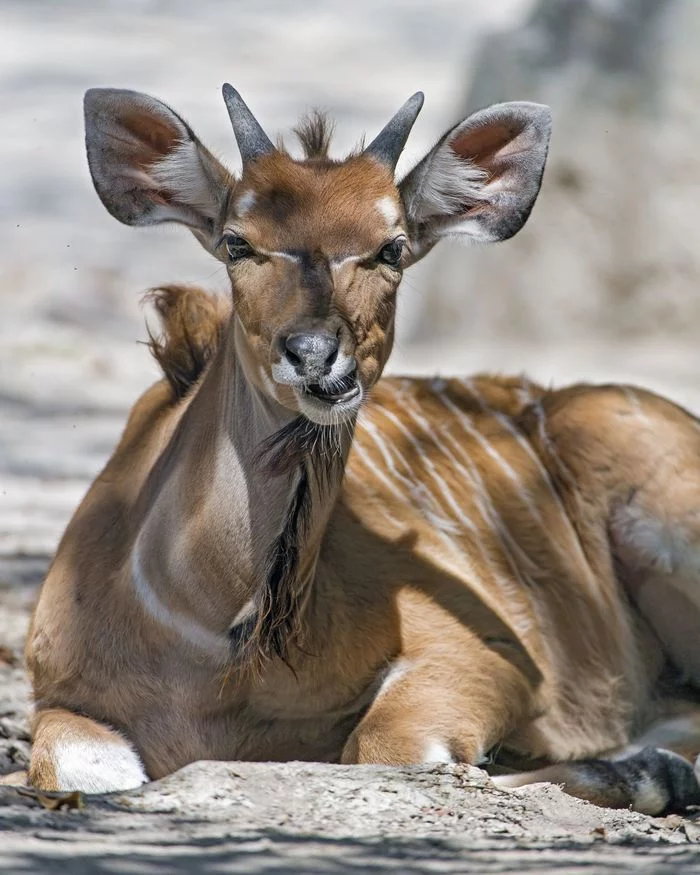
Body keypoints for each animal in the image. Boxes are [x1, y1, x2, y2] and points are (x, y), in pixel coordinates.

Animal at [23, 85, 700, 812]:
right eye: (237, 242)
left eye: (393, 248)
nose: (317, 356)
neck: (220, 644)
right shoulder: (62, 698)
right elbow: (76, 769)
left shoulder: (480, 658)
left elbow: (395, 752)